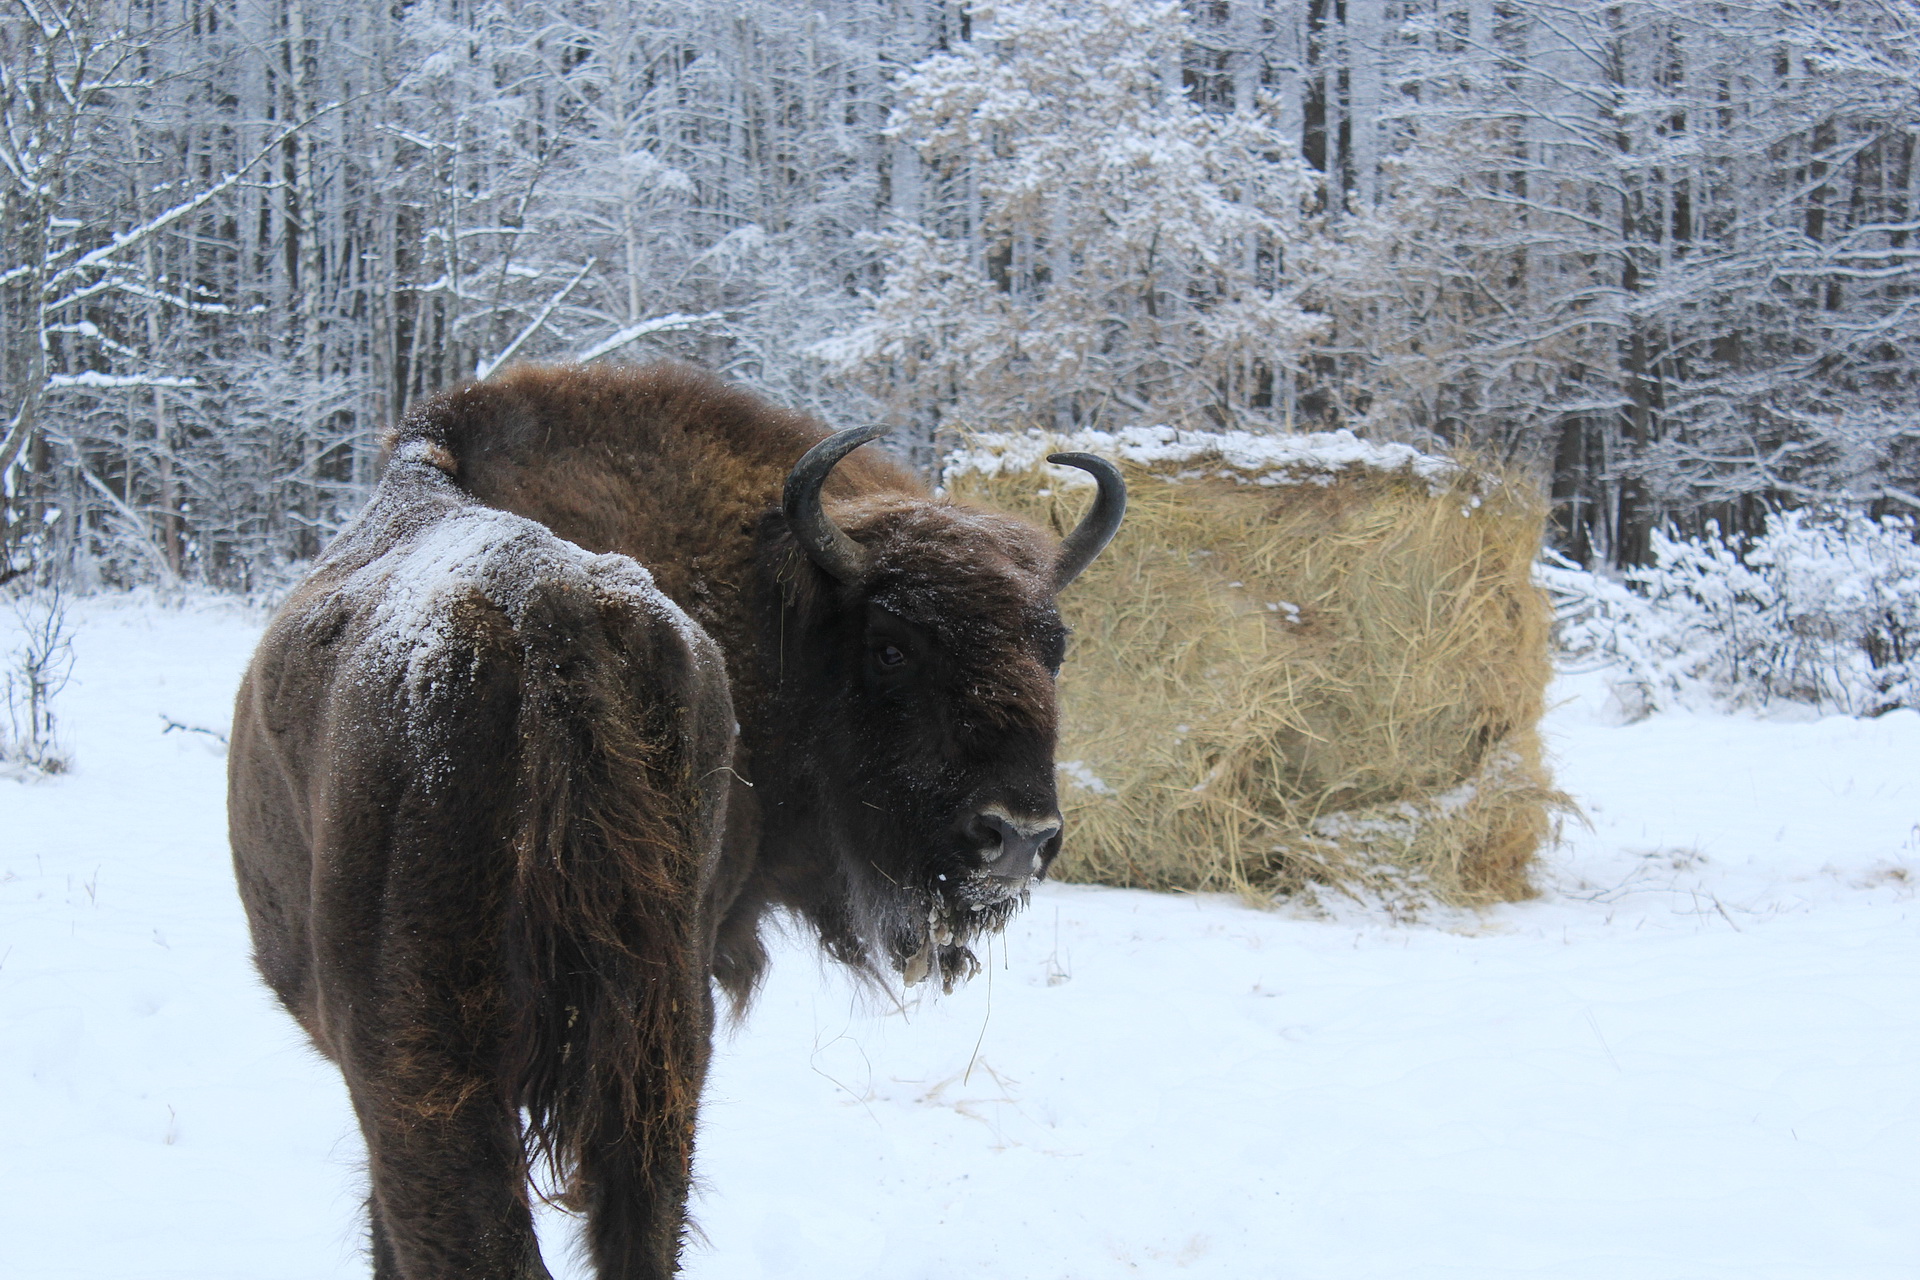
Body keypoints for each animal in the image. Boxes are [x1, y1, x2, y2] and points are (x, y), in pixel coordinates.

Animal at [228, 362, 1121, 1280]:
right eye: (890, 646)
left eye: (1052, 648)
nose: (1017, 836)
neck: (769, 611)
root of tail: (554, 620)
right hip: (654, 1046)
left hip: (432, 1074)